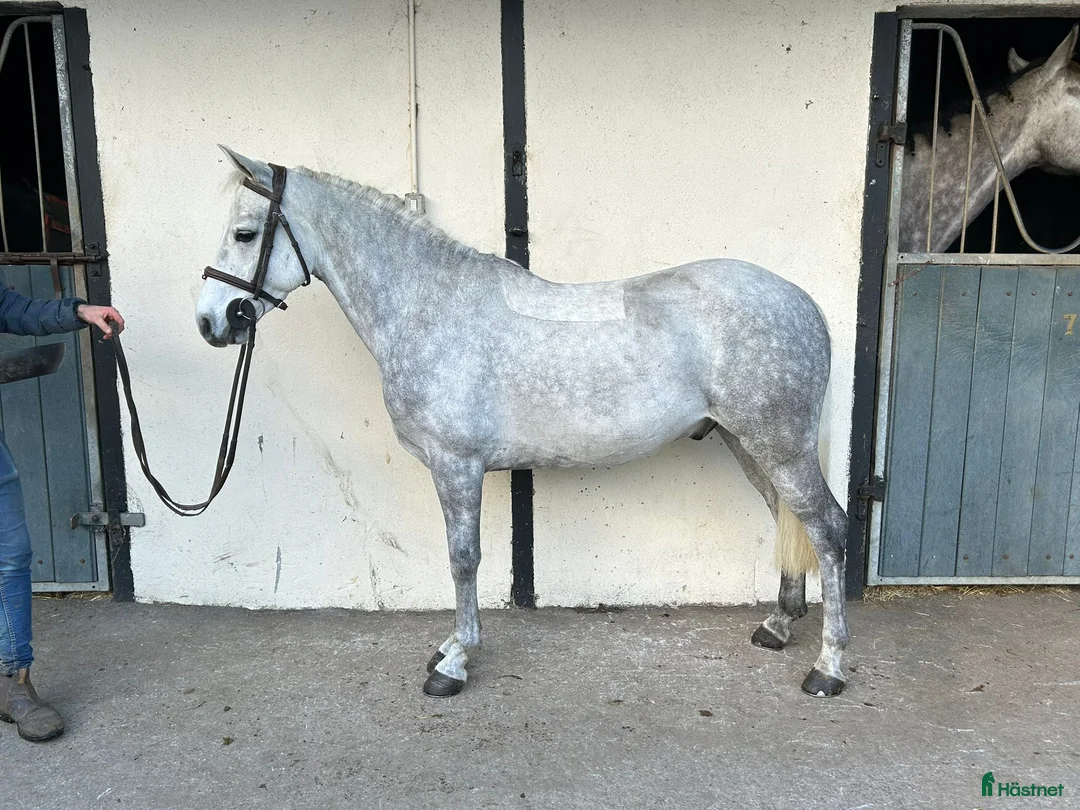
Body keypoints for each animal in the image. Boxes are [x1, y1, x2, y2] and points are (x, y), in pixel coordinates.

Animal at [195, 146, 848, 699]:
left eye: (245, 233)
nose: (212, 322)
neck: (429, 308)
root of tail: (805, 304)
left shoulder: (457, 466)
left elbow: (463, 559)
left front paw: (455, 662)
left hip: (778, 444)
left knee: (827, 529)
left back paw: (829, 668)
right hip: (749, 443)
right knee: (789, 519)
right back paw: (777, 626)